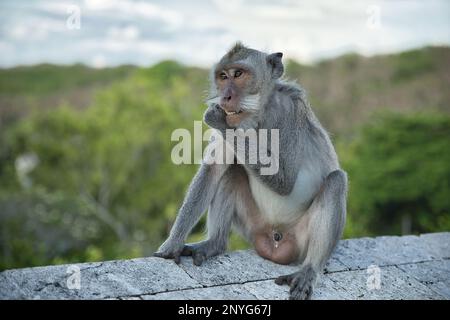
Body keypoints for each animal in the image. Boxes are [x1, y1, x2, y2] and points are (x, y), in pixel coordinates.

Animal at [155, 42, 348, 300]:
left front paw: (217, 118)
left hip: (300, 240)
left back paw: (309, 270)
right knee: (232, 172)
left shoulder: (290, 111)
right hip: (254, 226)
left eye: (238, 74)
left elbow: (285, 180)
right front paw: (172, 244)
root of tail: (275, 241)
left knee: (336, 181)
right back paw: (214, 243)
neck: (258, 114)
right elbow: (214, 170)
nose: (225, 96)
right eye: (223, 76)